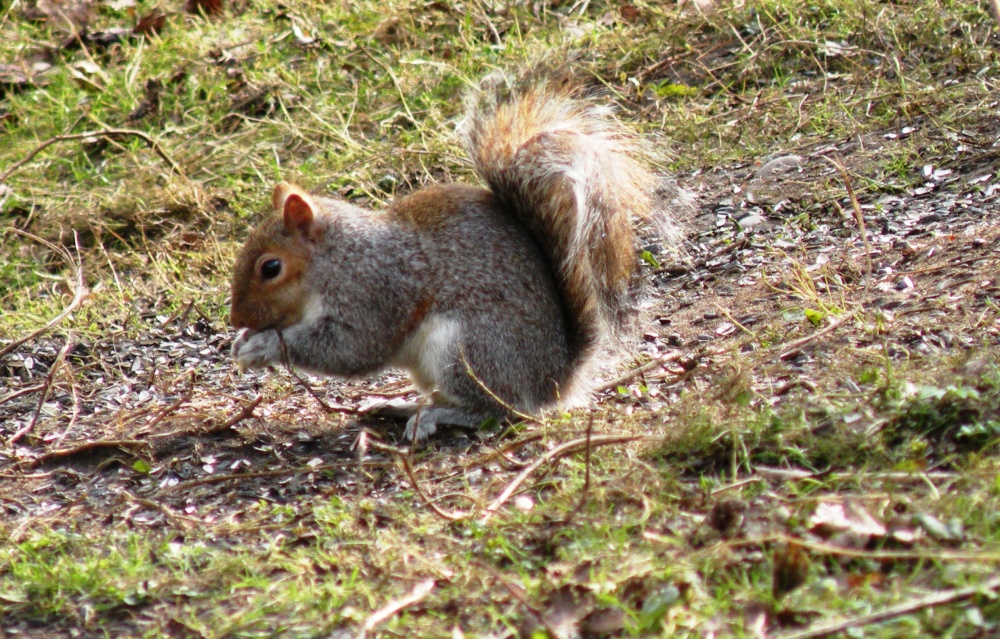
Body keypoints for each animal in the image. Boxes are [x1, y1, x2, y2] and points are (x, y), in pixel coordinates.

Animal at [229, 70, 671, 442]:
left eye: (271, 268)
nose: (236, 320)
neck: (336, 258)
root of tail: (551, 380)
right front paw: (244, 340)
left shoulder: (375, 289)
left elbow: (352, 348)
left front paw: (262, 347)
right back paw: (398, 404)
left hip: (467, 347)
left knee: (498, 410)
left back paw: (433, 416)